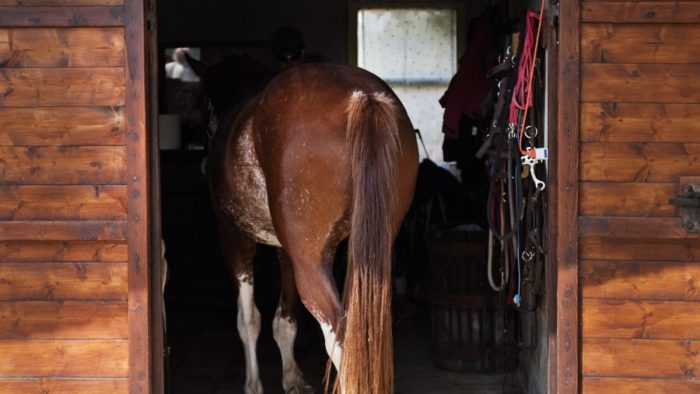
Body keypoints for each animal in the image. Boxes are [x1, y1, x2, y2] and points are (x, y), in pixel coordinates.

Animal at [189, 57, 418, 392]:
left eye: (205, 102)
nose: (204, 164)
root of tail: (362, 97)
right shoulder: (285, 251)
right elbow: (284, 321)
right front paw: (292, 378)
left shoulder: (234, 240)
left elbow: (248, 320)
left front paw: (253, 385)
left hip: (310, 264)